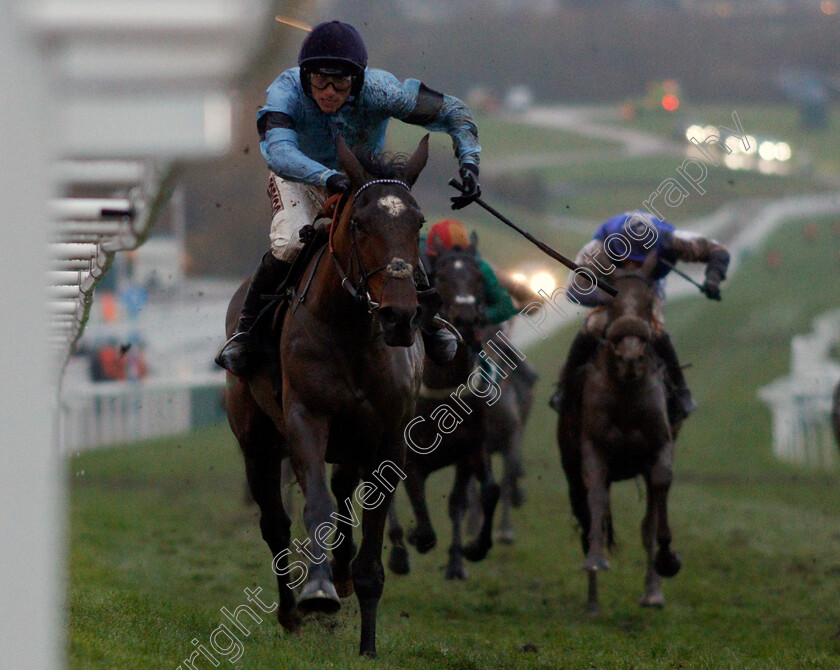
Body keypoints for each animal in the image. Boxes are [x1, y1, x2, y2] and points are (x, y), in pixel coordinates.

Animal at [223, 135, 430, 656]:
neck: (352, 330)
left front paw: (368, 644)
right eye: (359, 223)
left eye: (417, 223)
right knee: (275, 523)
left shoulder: (388, 439)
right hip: (257, 441)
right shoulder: (306, 418)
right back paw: (291, 612)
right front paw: (316, 592)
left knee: (342, 494)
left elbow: (370, 538)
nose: (399, 316)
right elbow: (314, 504)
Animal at [386, 243, 498, 584]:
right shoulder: (411, 460)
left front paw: (471, 551)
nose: (466, 317)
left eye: (478, 277)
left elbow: (484, 493)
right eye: (443, 277)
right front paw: (412, 540)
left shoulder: (472, 447)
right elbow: (424, 528)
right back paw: (398, 553)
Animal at [556, 255, 684, 616]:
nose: (629, 357)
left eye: (646, 303)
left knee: (647, 522)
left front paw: (666, 563)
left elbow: (657, 499)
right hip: (570, 471)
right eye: (611, 302)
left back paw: (652, 591)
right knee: (587, 520)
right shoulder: (593, 448)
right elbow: (596, 496)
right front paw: (596, 561)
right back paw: (593, 602)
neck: (627, 393)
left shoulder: (660, 445)